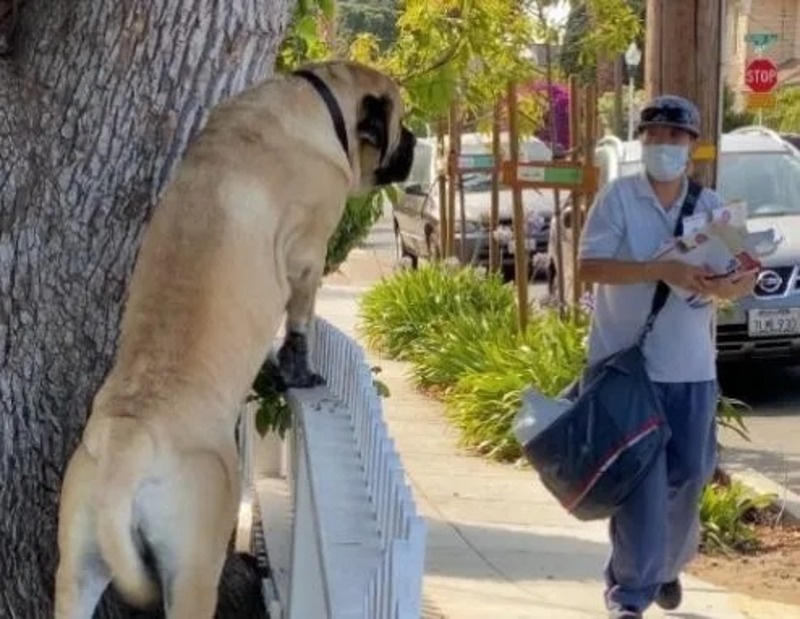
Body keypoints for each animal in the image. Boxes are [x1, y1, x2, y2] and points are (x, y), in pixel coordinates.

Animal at [54, 59, 418, 619]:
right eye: (401, 118)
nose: (417, 142)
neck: (319, 99)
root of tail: (126, 449)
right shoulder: (309, 254)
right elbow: (299, 324)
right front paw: (299, 371)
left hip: (76, 568)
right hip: (193, 569)